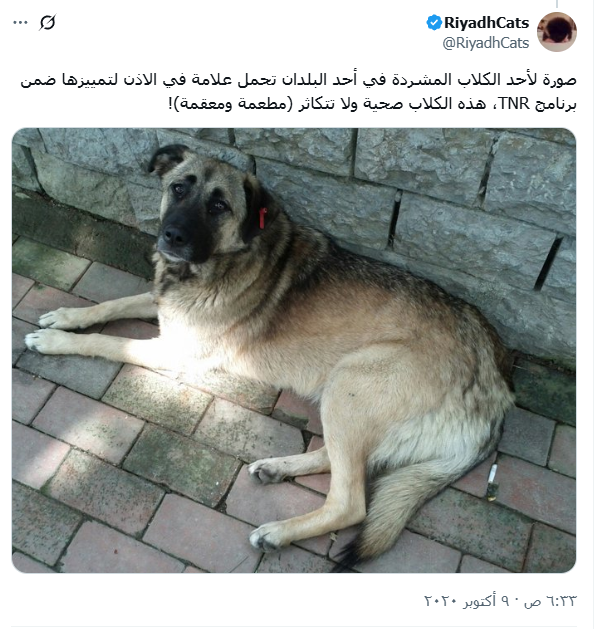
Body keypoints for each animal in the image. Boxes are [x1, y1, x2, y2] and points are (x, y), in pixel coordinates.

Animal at [25, 144, 514, 569]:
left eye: (219, 206)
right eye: (179, 188)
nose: (172, 236)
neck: (218, 262)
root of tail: (497, 387)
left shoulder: (177, 351)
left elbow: (109, 343)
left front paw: (55, 341)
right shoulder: (163, 307)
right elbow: (111, 306)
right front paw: (66, 315)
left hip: (351, 381)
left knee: (351, 501)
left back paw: (279, 531)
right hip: (350, 398)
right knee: (348, 464)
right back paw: (278, 468)